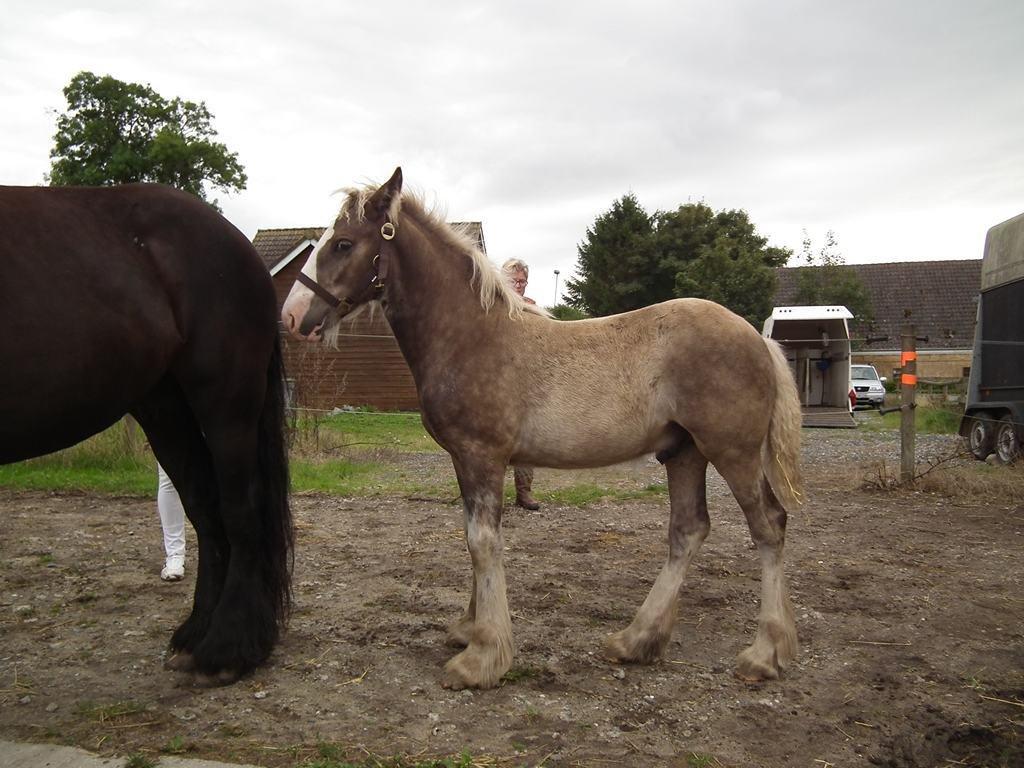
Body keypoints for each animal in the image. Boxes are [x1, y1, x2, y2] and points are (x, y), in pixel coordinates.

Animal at [2, 185, 294, 684]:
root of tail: (239, 245)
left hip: (225, 404)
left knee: (239, 512)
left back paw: (227, 650)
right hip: (163, 407)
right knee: (205, 510)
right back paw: (197, 636)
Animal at [284, 169, 802, 692]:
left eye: (344, 243)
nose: (292, 315)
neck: (472, 334)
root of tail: (757, 338)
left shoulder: (481, 456)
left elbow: (483, 542)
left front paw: (482, 656)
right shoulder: (466, 460)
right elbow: (473, 537)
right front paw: (469, 628)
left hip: (732, 452)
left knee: (768, 525)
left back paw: (763, 653)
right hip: (684, 453)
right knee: (689, 531)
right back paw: (636, 640)